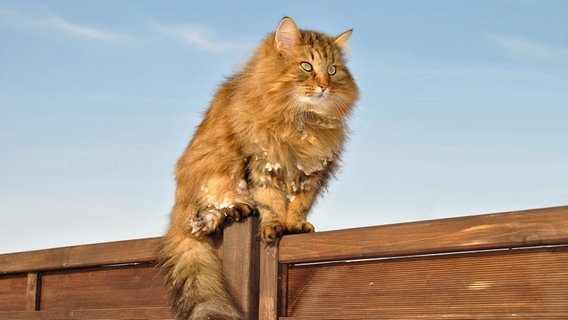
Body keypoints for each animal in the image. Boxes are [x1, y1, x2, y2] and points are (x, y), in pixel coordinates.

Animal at [158, 17, 358, 320]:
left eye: (333, 70)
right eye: (306, 66)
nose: (324, 86)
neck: (302, 122)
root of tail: (176, 214)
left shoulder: (310, 174)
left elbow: (299, 204)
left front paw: (294, 225)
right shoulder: (262, 165)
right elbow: (270, 202)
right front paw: (273, 226)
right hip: (215, 176)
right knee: (209, 216)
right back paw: (236, 209)